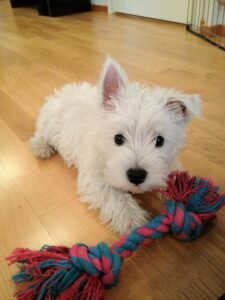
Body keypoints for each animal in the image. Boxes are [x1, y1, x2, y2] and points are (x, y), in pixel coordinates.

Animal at [30, 56, 201, 234]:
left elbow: (171, 173)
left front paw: (181, 188)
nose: (136, 175)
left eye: (159, 140)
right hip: (51, 124)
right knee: (41, 133)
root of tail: (62, 92)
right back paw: (41, 147)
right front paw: (133, 220)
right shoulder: (96, 177)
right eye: (118, 138)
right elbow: (116, 196)